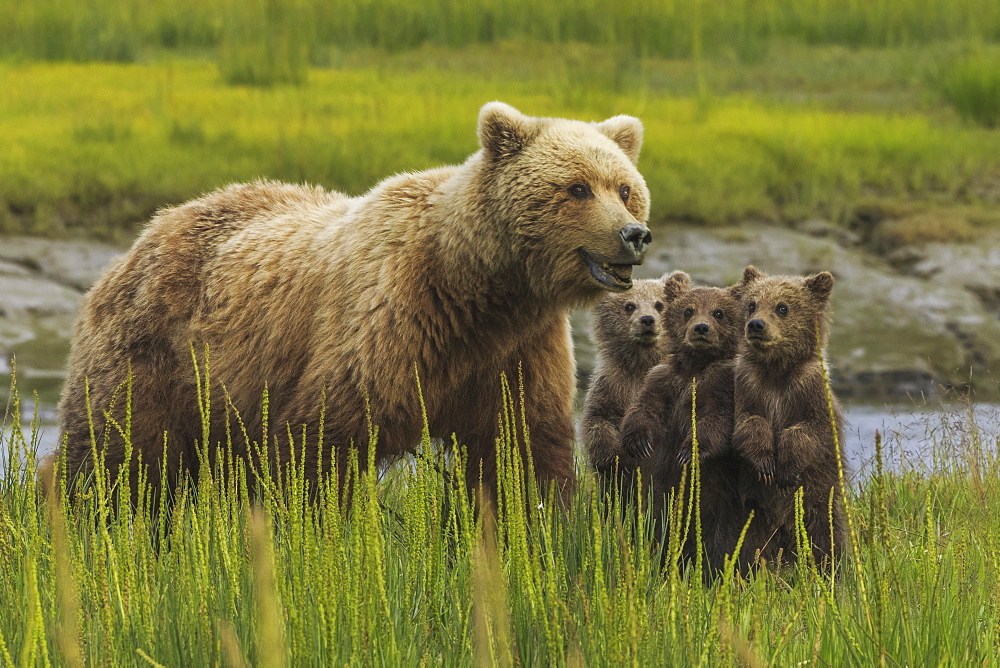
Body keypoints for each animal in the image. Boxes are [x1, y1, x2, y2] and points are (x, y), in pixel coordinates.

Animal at [52, 103, 656, 500]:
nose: (634, 234)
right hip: (155, 350)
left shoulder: (518, 348)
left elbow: (524, 447)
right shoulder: (391, 319)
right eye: (577, 188)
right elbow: (323, 439)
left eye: (625, 188)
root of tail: (144, 235)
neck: (477, 287)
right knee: (116, 452)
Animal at [584, 274, 668, 494]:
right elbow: (598, 419)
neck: (641, 362)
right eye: (629, 306)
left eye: (659, 304)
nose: (647, 320)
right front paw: (613, 460)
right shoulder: (612, 384)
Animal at [620, 268, 748, 572]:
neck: (695, 366)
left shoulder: (721, 384)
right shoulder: (664, 381)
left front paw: (688, 452)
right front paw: (638, 443)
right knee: (655, 527)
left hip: (718, 506)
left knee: (721, 541)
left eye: (718, 312)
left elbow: (716, 420)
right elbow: (643, 408)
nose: (700, 328)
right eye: (688, 310)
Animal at [732, 264, 848, 572]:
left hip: (818, 500)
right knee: (750, 545)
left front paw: (785, 469)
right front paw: (764, 465)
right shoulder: (748, 386)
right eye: (752, 304)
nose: (756, 325)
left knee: (826, 536)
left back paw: (830, 568)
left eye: (782, 307)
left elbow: (808, 430)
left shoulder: (809, 390)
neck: (776, 371)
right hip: (755, 515)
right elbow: (749, 423)